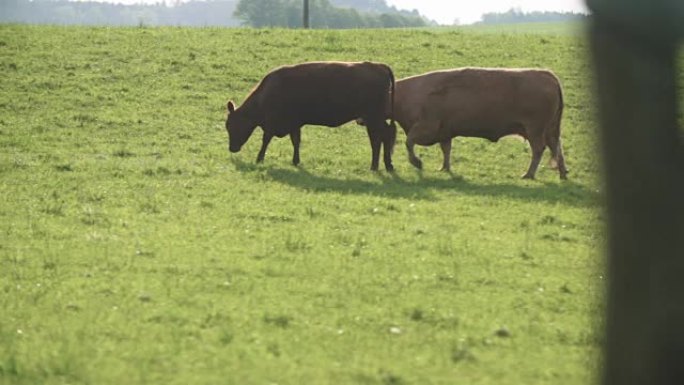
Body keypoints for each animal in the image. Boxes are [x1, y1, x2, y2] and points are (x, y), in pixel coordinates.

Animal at [226, 60, 396, 171]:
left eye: (232, 126)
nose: (232, 148)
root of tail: (378, 66)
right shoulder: (294, 123)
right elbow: (296, 141)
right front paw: (295, 161)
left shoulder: (272, 124)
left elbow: (266, 140)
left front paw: (259, 158)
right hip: (374, 119)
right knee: (383, 137)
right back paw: (386, 165)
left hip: (374, 118)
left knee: (379, 138)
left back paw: (376, 166)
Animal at [368, 67, 568, 178]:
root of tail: (548, 75)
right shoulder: (444, 132)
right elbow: (446, 150)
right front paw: (444, 168)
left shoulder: (426, 127)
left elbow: (409, 142)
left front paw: (417, 162)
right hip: (550, 130)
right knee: (557, 147)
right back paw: (563, 173)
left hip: (535, 130)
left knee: (539, 149)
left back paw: (528, 174)